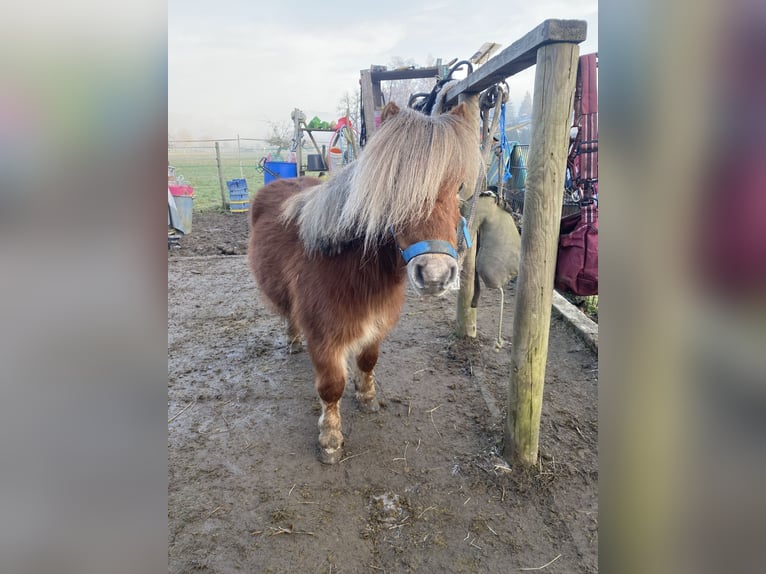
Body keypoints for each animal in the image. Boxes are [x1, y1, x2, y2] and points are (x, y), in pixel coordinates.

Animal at [249, 101, 480, 466]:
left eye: (458, 187)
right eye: (395, 187)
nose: (435, 275)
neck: (349, 265)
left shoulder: (377, 323)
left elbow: (368, 360)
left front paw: (367, 396)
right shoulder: (325, 337)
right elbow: (331, 386)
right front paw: (330, 439)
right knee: (289, 316)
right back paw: (293, 341)